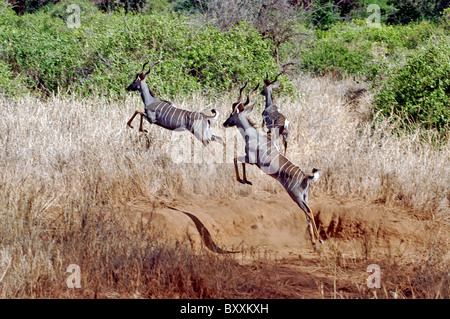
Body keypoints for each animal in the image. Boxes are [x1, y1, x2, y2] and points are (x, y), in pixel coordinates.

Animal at [222, 82, 324, 250]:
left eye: (231, 115)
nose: (224, 123)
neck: (253, 135)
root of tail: (306, 177)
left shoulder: (250, 159)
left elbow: (236, 158)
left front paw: (242, 180)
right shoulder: (251, 161)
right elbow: (238, 161)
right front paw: (246, 181)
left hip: (296, 196)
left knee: (308, 211)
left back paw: (320, 240)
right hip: (304, 196)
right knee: (308, 212)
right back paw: (314, 242)